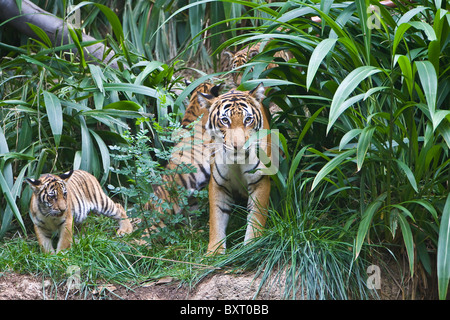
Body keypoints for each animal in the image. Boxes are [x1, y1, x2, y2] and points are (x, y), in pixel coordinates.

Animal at [199, 84, 272, 254]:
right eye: (225, 120)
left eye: (248, 119)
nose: (238, 146)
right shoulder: (218, 184)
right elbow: (216, 218)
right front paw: (214, 252)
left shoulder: (260, 180)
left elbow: (257, 216)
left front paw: (252, 246)